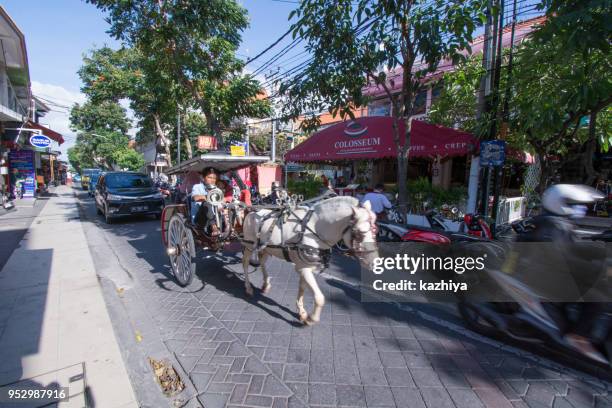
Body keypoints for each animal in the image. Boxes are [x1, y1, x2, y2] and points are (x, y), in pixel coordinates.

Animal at [240, 197, 378, 326]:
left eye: (375, 230)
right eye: (359, 234)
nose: (374, 263)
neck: (313, 229)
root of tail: (252, 212)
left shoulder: (305, 267)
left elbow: (302, 288)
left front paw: (302, 312)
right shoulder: (304, 268)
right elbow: (319, 298)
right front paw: (312, 318)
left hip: (266, 248)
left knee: (262, 262)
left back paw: (266, 284)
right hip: (249, 245)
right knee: (245, 263)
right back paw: (248, 288)